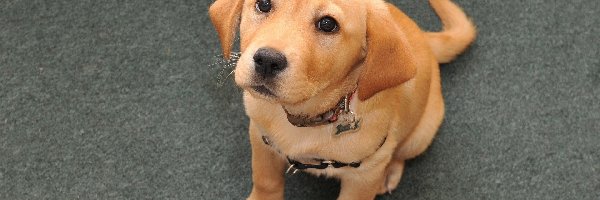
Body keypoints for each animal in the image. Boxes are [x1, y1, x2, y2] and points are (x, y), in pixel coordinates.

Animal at [209, 0, 476, 198]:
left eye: (328, 24)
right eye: (263, 4)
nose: (267, 60)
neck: (310, 117)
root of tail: (423, 36)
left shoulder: (363, 176)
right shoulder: (261, 139)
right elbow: (266, 181)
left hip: (421, 133)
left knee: (400, 153)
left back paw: (390, 173)